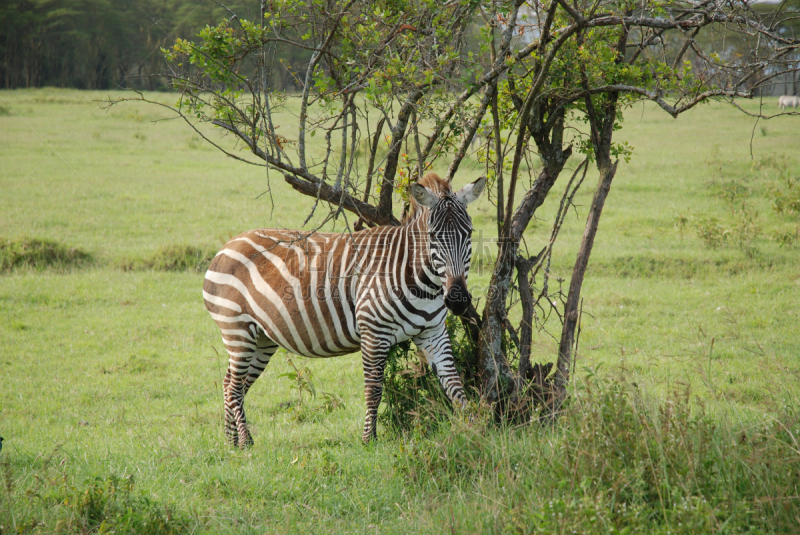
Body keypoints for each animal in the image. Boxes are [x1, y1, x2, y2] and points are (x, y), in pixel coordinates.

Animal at [203, 174, 484, 446]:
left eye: (469, 233)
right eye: (434, 236)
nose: (458, 300)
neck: (422, 281)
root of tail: (227, 246)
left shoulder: (432, 332)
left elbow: (454, 383)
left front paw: (474, 431)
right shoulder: (373, 332)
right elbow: (374, 389)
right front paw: (369, 441)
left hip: (262, 338)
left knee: (231, 383)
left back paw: (231, 441)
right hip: (237, 330)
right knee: (234, 386)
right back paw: (245, 442)